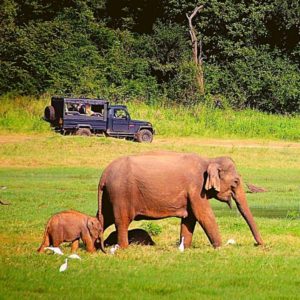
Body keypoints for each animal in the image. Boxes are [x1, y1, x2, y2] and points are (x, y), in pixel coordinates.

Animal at [97, 151, 264, 250]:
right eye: (236, 182)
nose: (259, 244)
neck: (209, 160)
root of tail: (104, 175)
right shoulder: (196, 188)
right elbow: (203, 215)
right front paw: (219, 247)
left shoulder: (192, 193)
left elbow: (190, 219)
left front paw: (185, 248)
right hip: (121, 194)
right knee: (122, 221)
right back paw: (124, 248)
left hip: (109, 196)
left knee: (103, 218)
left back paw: (97, 247)